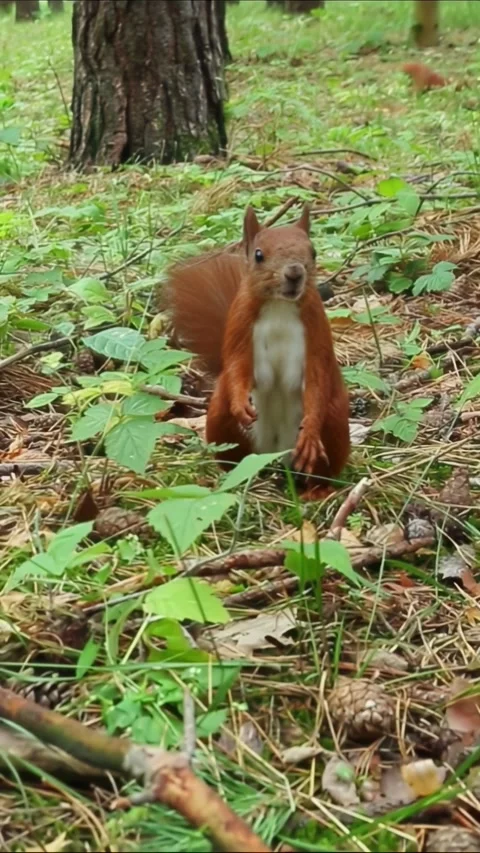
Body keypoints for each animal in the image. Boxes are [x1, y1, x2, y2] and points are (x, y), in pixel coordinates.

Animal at [164, 204, 350, 499]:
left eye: (313, 252)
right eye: (259, 255)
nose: (295, 272)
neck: (279, 306)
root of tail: (274, 451)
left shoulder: (317, 332)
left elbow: (317, 378)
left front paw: (310, 432)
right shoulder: (240, 326)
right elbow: (237, 367)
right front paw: (241, 403)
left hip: (333, 424)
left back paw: (317, 489)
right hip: (222, 422)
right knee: (236, 457)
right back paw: (232, 479)